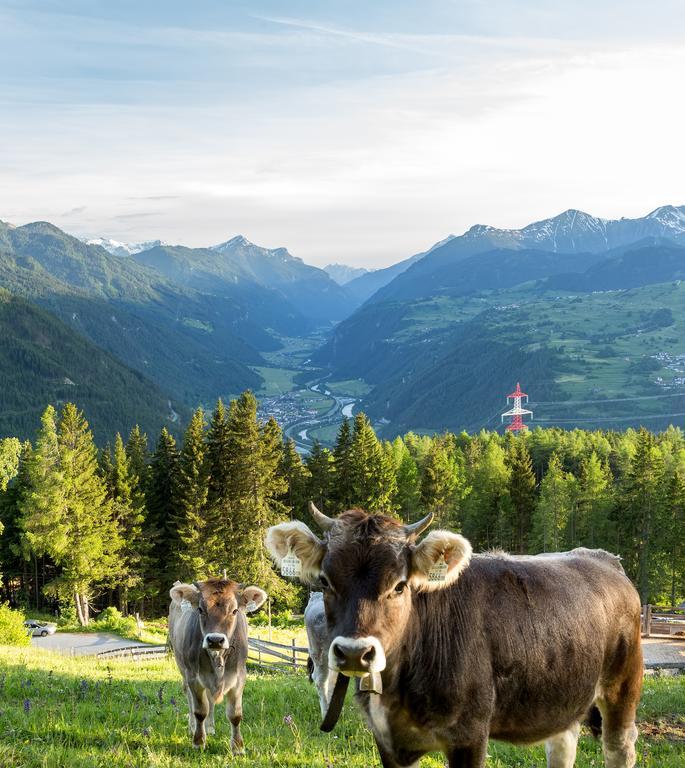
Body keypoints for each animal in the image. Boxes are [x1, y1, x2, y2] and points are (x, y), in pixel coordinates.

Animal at [168, 576, 268, 752]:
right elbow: (200, 711)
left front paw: (238, 747)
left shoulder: (239, 676)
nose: (215, 640)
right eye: (200, 609)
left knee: (210, 699)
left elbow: (235, 715)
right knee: (189, 696)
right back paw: (193, 727)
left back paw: (210, 727)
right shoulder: (194, 677)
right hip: (182, 668)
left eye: (234, 611)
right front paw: (198, 742)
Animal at [266, 504, 640, 768]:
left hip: (623, 686)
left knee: (619, 747)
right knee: (563, 745)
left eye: (400, 585)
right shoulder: (386, 739)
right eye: (326, 581)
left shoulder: (469, 736)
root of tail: (602, 559)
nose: (355, 653)